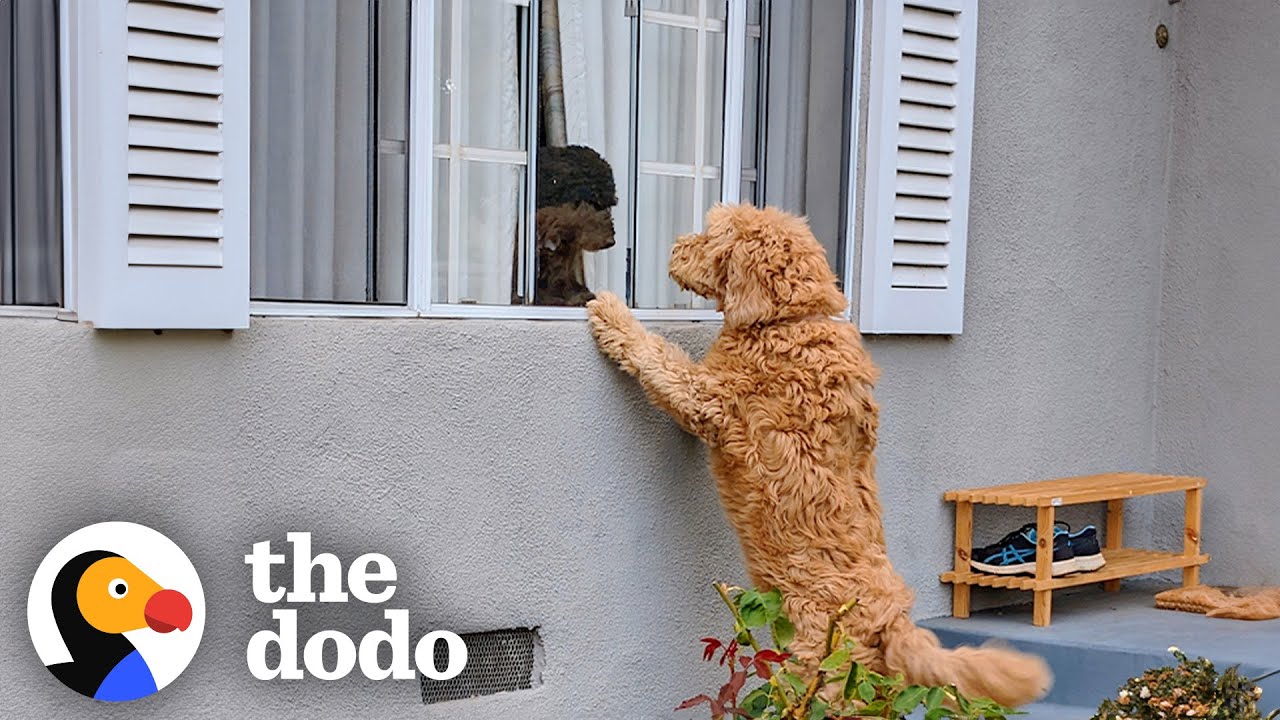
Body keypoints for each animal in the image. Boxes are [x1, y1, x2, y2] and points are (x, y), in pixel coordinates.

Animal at [586, 203, 1049, 707]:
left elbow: (658, 357)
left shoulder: (707, 398)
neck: (790, 320)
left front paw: (611, 313)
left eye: (711, 236)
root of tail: (895, 616)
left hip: (823, 668)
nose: (675, 245)